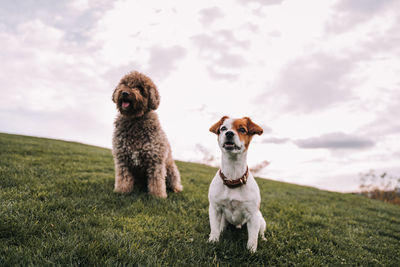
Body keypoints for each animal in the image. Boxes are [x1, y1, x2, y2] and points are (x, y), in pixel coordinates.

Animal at [111, 71, 183, 199]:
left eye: (139, 88)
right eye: (124, 83)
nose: (125, 93)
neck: (134, 120)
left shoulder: (155, 160)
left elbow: (156, 181)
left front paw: (157, 196)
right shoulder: (122, 159)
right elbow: (123, 178)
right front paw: (122, 191)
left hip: (171, 170)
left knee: (174, 182)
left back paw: (176, 189)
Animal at [208, 116, 268, 252]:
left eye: (242, 129)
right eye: (223, 128)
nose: (229, 133)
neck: (232, 178)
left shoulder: (253, 216)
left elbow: (253, 238)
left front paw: (251, 251)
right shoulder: (215, 209)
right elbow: (214, 229)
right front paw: (213, 241)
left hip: (261, 220)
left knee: (260, 232)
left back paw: (263, 238)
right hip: (224, 218)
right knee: (221, 227)